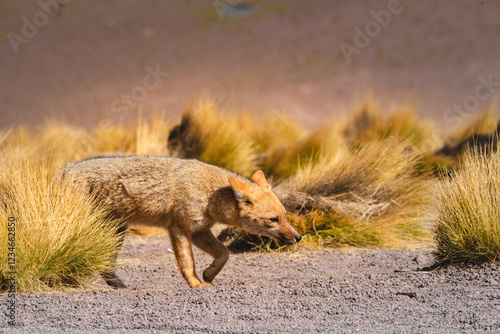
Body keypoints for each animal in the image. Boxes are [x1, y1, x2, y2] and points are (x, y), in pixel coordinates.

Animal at [58, 155, 300, 288]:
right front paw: (195, 284)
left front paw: (209, 274)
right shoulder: (179, 227)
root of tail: (66, 167)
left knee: (106, 267)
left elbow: (224, 253)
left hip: (116, 231)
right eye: (273, 219)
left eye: (285, 215)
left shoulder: (200, 230)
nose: (298, 237)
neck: (209, 194)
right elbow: (187, 262)